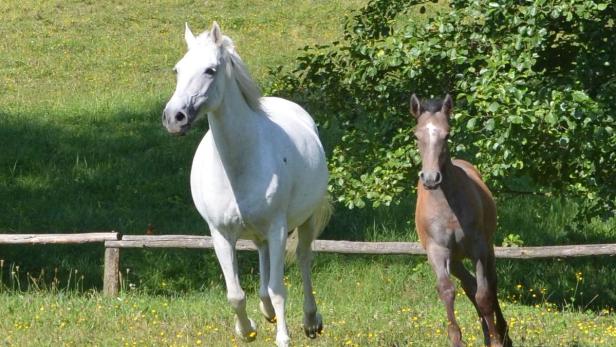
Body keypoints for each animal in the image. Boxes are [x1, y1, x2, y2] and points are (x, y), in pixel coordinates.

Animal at [161, 22, 330, 347]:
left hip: (303, 222)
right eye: (177, 69)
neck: (237, 165)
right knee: (263, 267)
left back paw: (310, 321)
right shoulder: (220, 235)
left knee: (303, 259)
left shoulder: (278, 228)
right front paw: (247, 329)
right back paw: (266, 312)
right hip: (258, 234)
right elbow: (236, 295)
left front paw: (283, 338)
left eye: (210, 70)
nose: (174, 118)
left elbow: (279, 289)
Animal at [412, 94, 512, 346]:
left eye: (447, 134)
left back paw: (502, 333)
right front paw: (457, 339)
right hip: (456, 259)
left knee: (490, 285)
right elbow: (447, 291)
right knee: (469, 285)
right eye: (416, 135)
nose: (431, 178)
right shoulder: (437, 252)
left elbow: (485, 296)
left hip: (487, 249)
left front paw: (497, 340)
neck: (448, 209)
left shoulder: (478, 249)